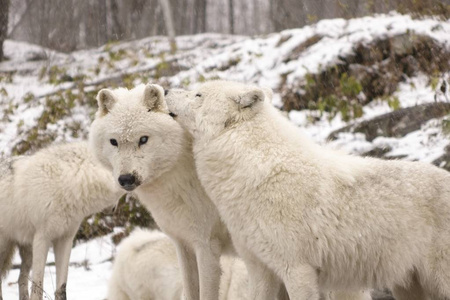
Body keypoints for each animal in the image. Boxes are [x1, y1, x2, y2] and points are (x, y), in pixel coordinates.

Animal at [0, 142, 125, 298]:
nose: (113, 209)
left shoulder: (65, 239)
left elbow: (61, 288)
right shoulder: (42, 239)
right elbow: (37, 288)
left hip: (27, 252)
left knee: (21, 279)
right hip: (6, 247)